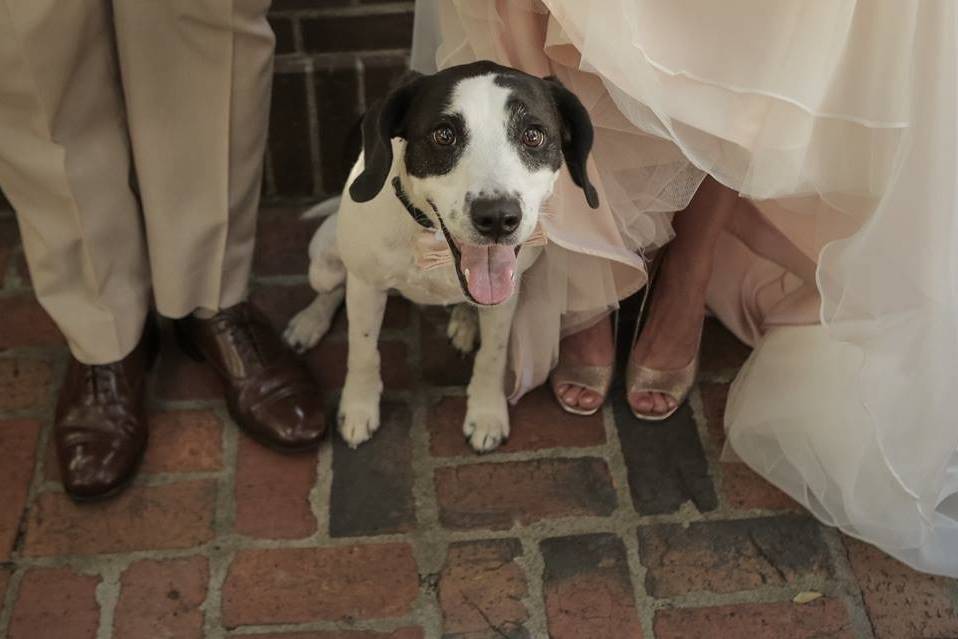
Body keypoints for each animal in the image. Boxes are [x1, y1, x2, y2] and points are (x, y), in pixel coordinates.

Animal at [284, 58, 600, 450]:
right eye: (444, 135)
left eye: (533, 135)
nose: (497, 217)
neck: (433, 243)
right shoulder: (366, 286)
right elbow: (362, 350)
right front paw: (358, 407)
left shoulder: (507, 295)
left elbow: (493, 355)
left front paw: (486, 412)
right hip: (325, 262)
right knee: (331, 286)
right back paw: (310, 321)